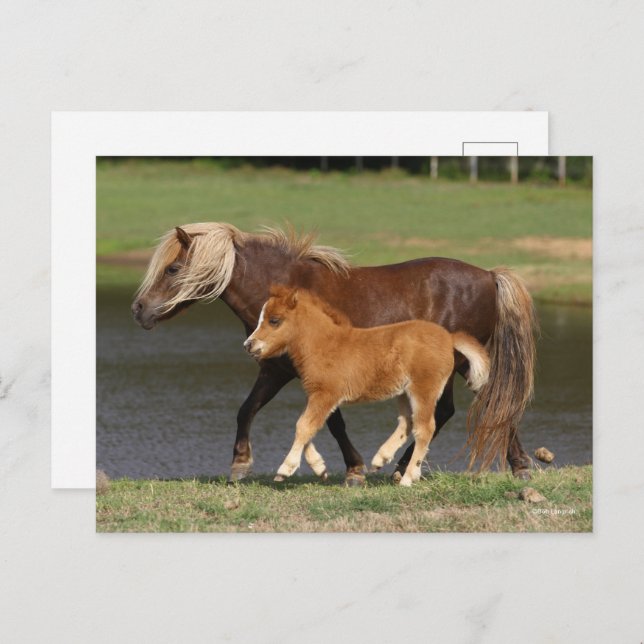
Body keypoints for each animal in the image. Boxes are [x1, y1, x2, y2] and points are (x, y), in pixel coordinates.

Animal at [244, 286, 491, 486]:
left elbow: (304, 426)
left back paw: (408, 477)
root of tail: (449, 338)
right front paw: (319, 467)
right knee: (407, 422)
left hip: (423, 389)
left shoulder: (326, 394)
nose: (248, 345)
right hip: (404, 391)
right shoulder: (317, 394)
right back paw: (380, 459)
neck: (325, 344)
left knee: (425, 428)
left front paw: (285, 469)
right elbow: (308, 426)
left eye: (274, 320)